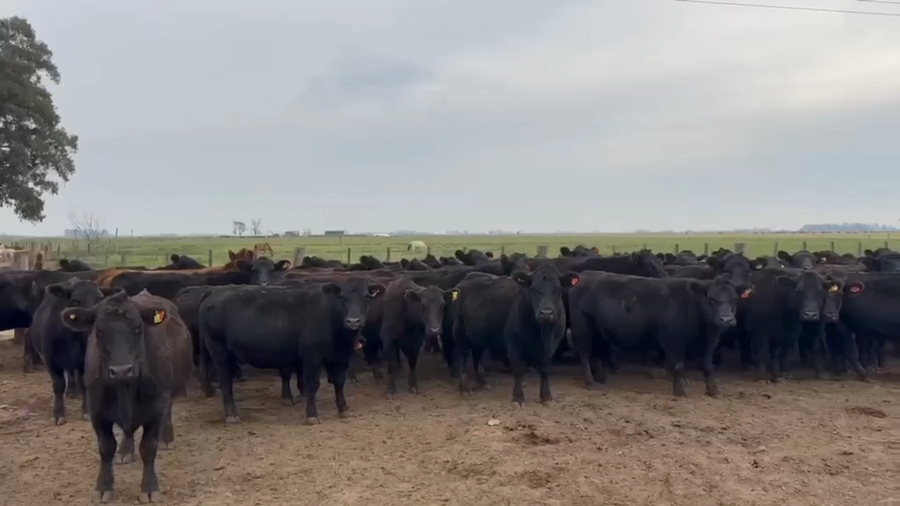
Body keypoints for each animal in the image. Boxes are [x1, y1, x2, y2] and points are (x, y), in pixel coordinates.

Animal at [29, 279, 118, 424]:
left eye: (100, 299)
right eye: (76, 300)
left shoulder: (83, 361)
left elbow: (83, 383)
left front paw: (86, 411)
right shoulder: (50, 361)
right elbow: (58, 385)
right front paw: (59, 414)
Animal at [61, 290, 193, 503]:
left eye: (138, 329)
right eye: (99, 332)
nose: (121, 370)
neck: (125, 389)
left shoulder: (158, 406)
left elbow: (148, 448)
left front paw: (149, 487)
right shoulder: (96, 410)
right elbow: (106, 448)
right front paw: (103, 486)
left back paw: (166, 437)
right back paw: (125, 450)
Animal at [199, 278, 384, 424]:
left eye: (366, 297)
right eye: (342, 297)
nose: (353, 321)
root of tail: (214, 290)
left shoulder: (341, 357)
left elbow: (339, 382)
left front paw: (343, 408)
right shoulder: (312, 357)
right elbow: (313, 384)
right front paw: (311, 415)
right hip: (219, 350)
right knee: (225, 379)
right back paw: (231, 414)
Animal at [568, 272, 752, 396]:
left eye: (735, 299)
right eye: (711, 299)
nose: (726, 319)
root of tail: (585, 276)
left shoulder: (710, 341)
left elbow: (707, 365)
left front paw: (713, 390)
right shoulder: (672, 340)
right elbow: (678, 365)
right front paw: (679, 391)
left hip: (598, 332)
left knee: (596, 353)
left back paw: (601, 378)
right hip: (582, 328)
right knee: (585, 354)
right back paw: (591, 383)